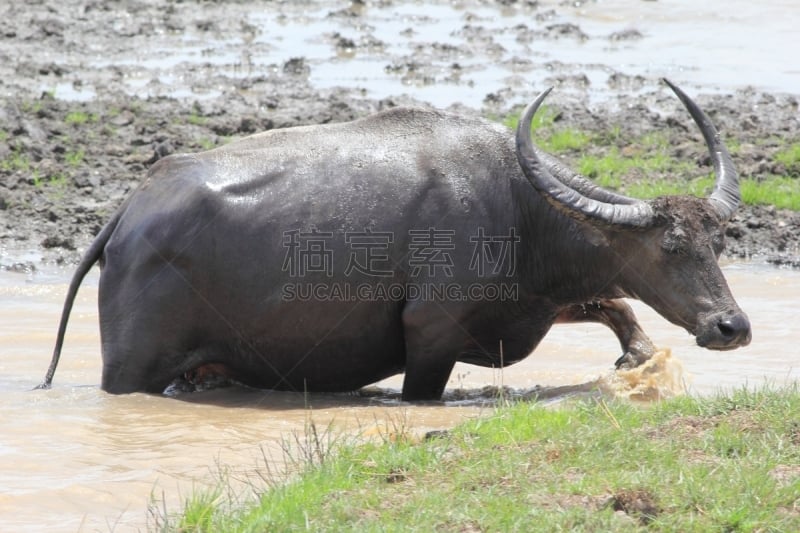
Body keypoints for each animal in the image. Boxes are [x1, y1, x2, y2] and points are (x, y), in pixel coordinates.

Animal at [37, 79, 752, 400]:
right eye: (669, 247)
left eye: (717, 241)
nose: (732, 327)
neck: (523, 212)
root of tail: (130, 211)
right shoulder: (431, 338)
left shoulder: (533, 305)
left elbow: (615, 303)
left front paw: (638, 357)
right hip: (131, 371)